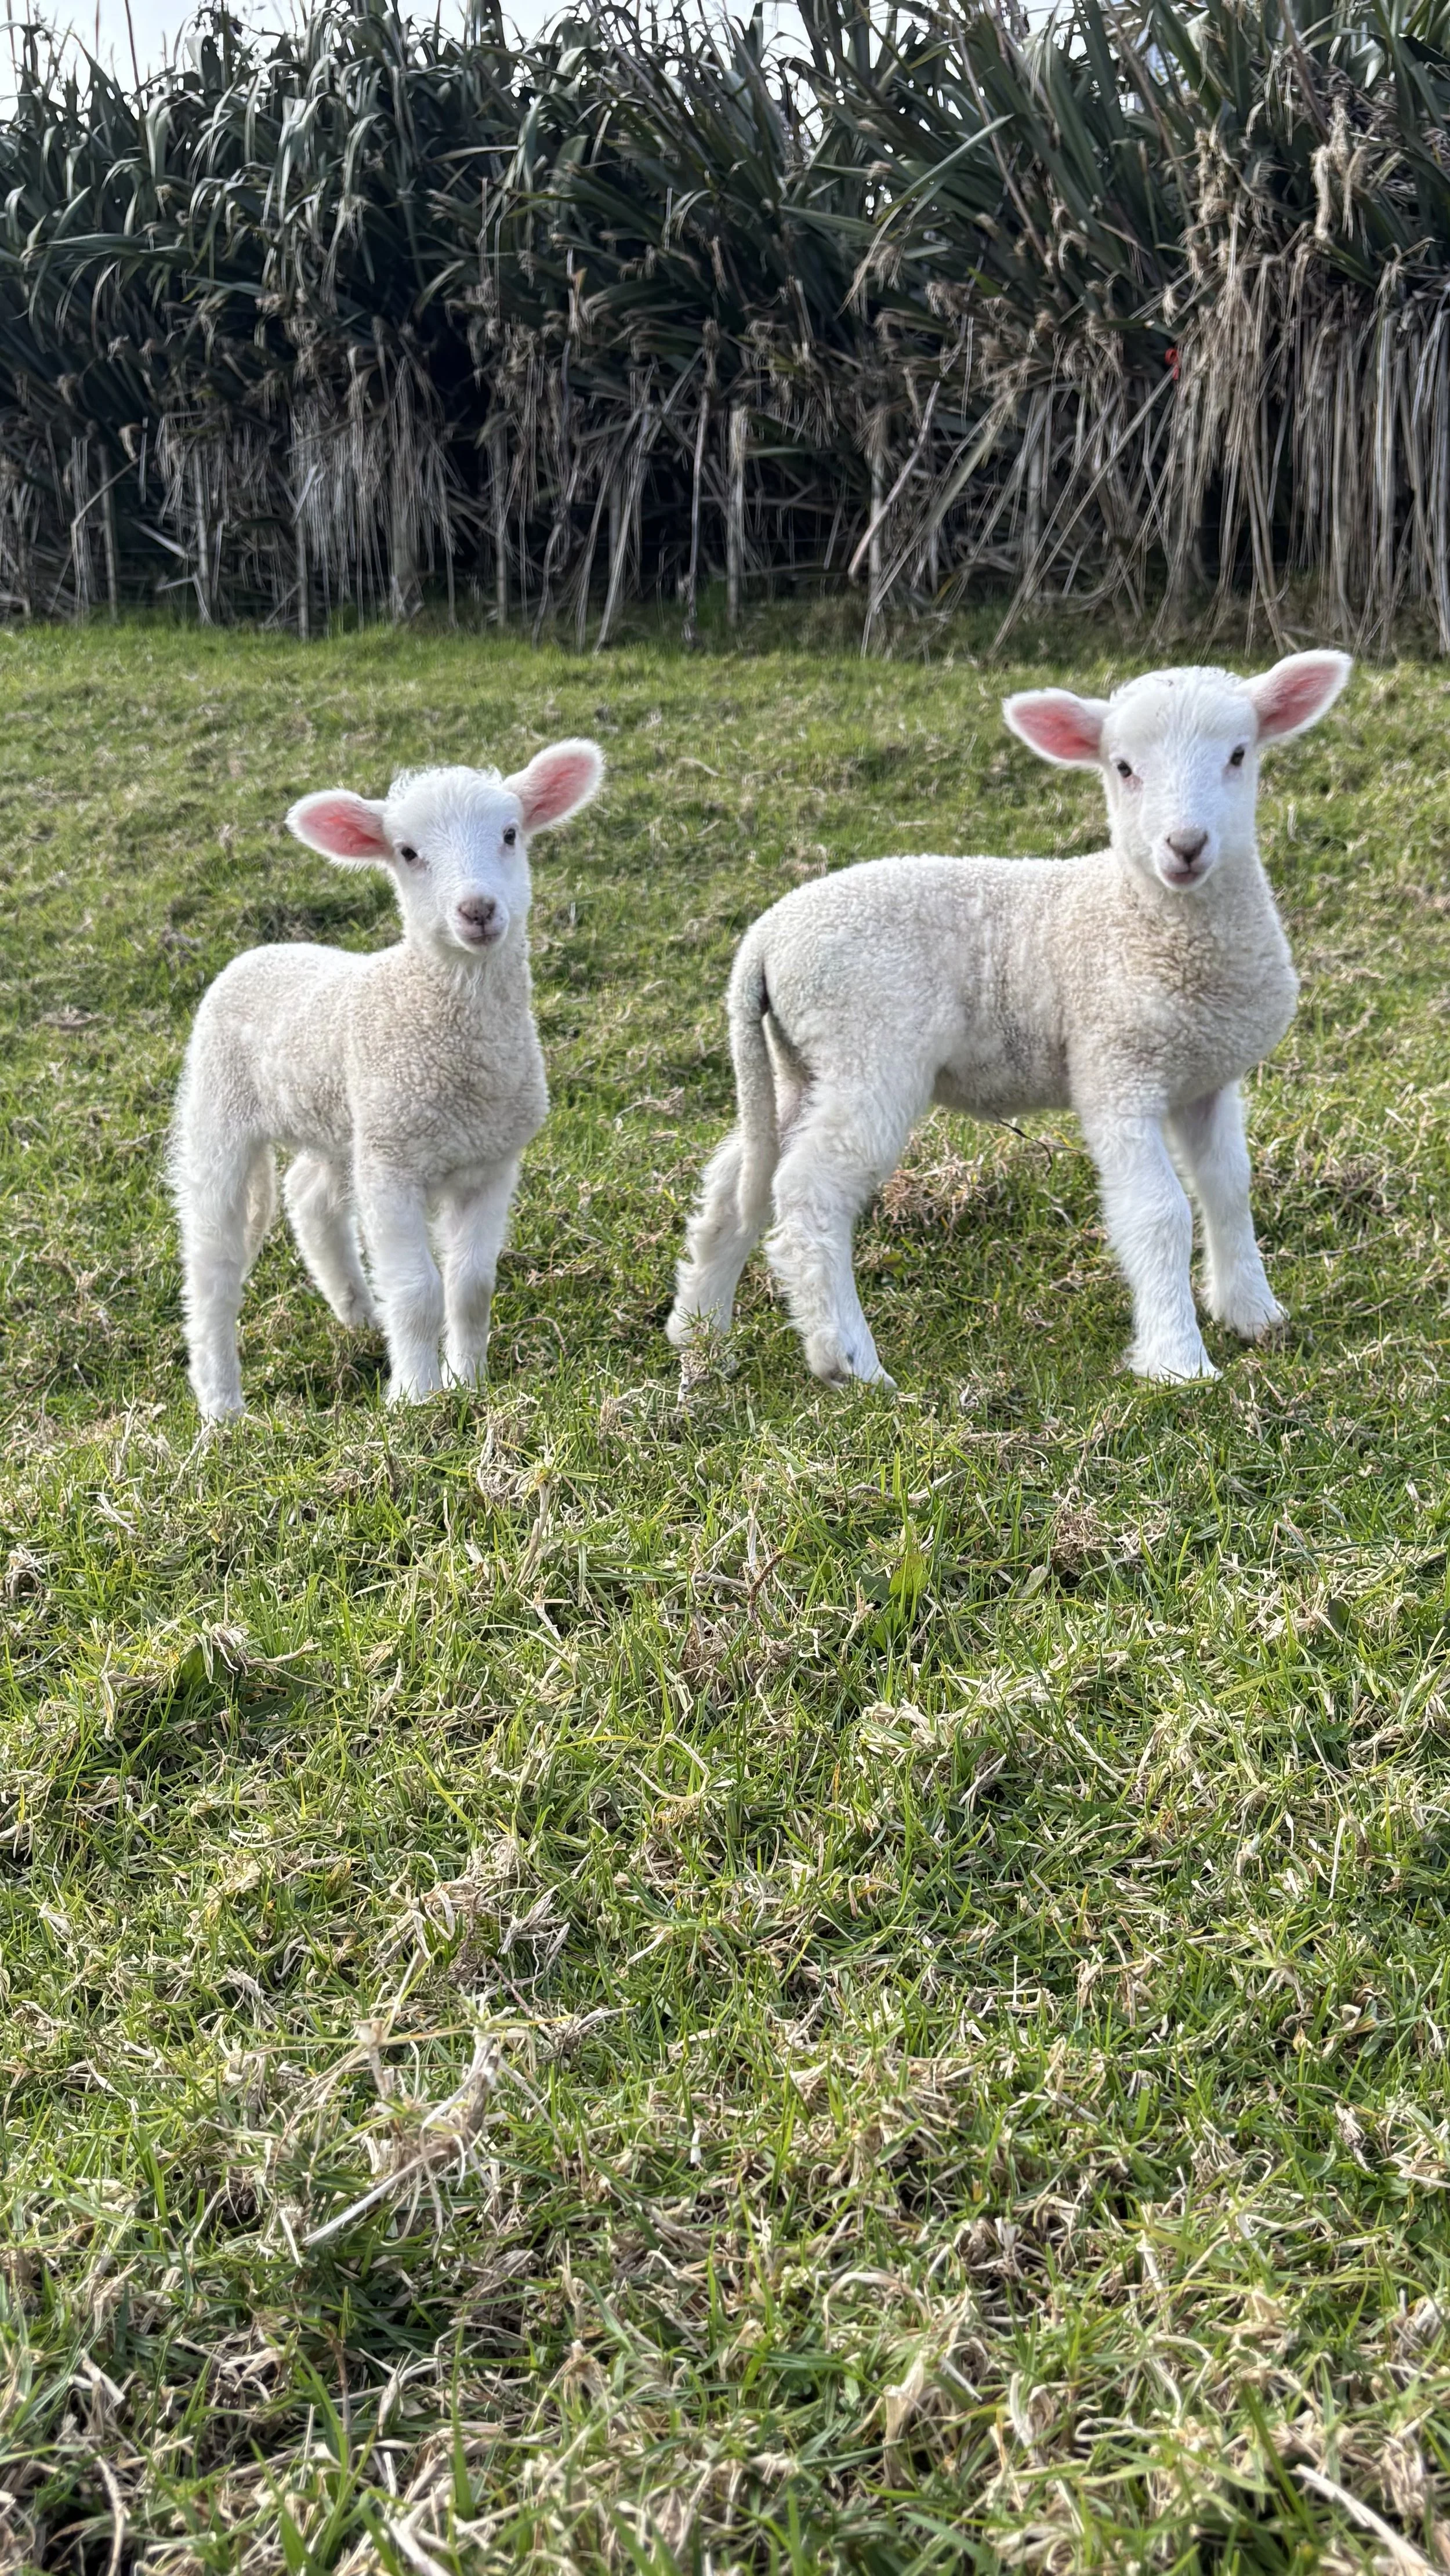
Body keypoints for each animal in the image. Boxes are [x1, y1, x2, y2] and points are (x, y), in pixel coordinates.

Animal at [170, 740, 603, 1419]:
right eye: (407, 852)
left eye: (510, 834)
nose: (477, 910)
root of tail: (261, 952)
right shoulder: (393, 1168)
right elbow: (418, 1289)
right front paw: (415, 1399)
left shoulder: (489, 1162)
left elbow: (471, 1286)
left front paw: (468, 1383)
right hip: (218, 1110)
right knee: (212, 1261)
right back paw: (221, 1405)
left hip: (342, 1122)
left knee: (309, 1197)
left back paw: (357, 1313)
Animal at [666, 651, 1351, 1390]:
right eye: (1122, 767)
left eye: (1238, 754)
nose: (1185, 845)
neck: (1141, 915)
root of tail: (763, 940)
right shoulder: (1116, 1070)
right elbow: (1158, 1210)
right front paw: (1178, 1361)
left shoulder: (1205, 1079)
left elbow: (1228, 1189)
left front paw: (1253, 1312)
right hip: (867, 1048)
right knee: (808, 1191)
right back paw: (848, 1359)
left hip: (799, 1064)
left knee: (737, 1182)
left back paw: (701, 1334)